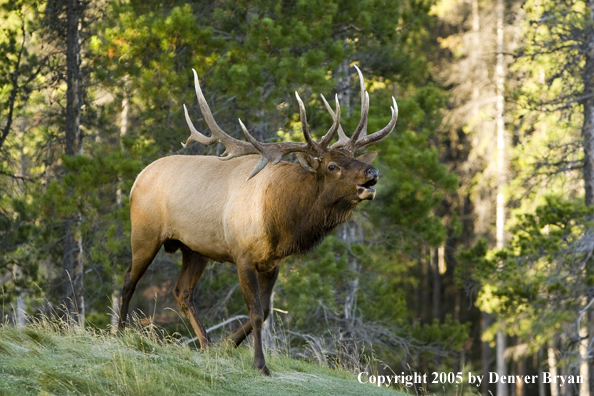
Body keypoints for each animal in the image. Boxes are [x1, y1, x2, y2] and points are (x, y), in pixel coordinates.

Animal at [117, 66, 396, 376]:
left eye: (354, 157)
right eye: (332, 166)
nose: (372, 172)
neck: (281, 221)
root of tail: (137, 179)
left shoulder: (272, 263)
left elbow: (263, 312)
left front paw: (228, 345)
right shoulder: (243, 256)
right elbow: (254, 310)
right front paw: (260, 364)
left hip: (195, 248)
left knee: (182, 292)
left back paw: (207, 344)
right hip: (145, 232)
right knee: (129, 279)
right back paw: (119, 332)